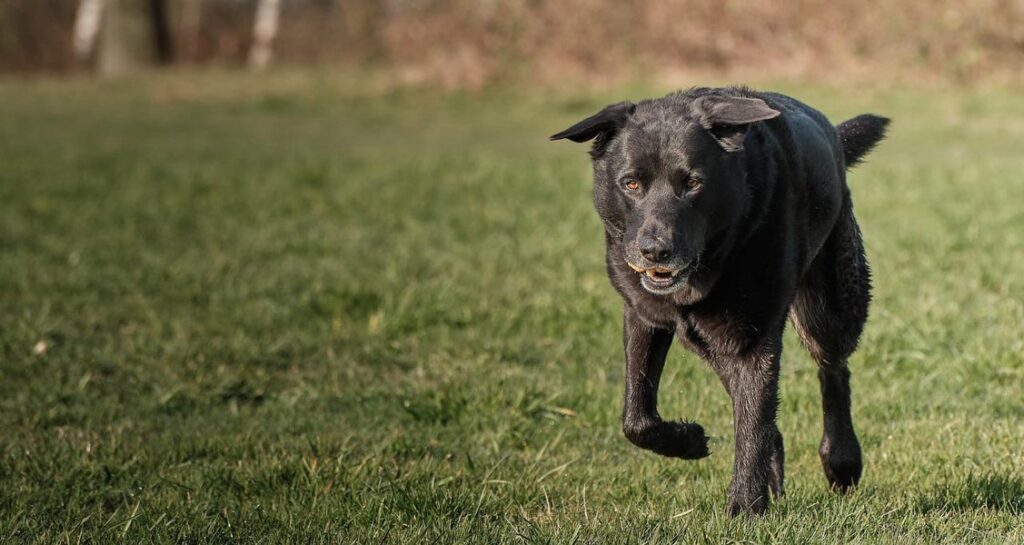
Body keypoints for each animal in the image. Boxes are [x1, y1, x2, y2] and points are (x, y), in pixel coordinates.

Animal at [552, 87, 888, 512]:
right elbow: (636, 416)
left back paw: (841, 461)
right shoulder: (644, 316)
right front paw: (690, 441)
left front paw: (745, 509)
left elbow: (752, 424)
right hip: (705, 339)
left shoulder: (752, 338)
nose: (654, 251)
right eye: (630, 184)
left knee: (833, 371)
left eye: (692, 182)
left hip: (828, 307)